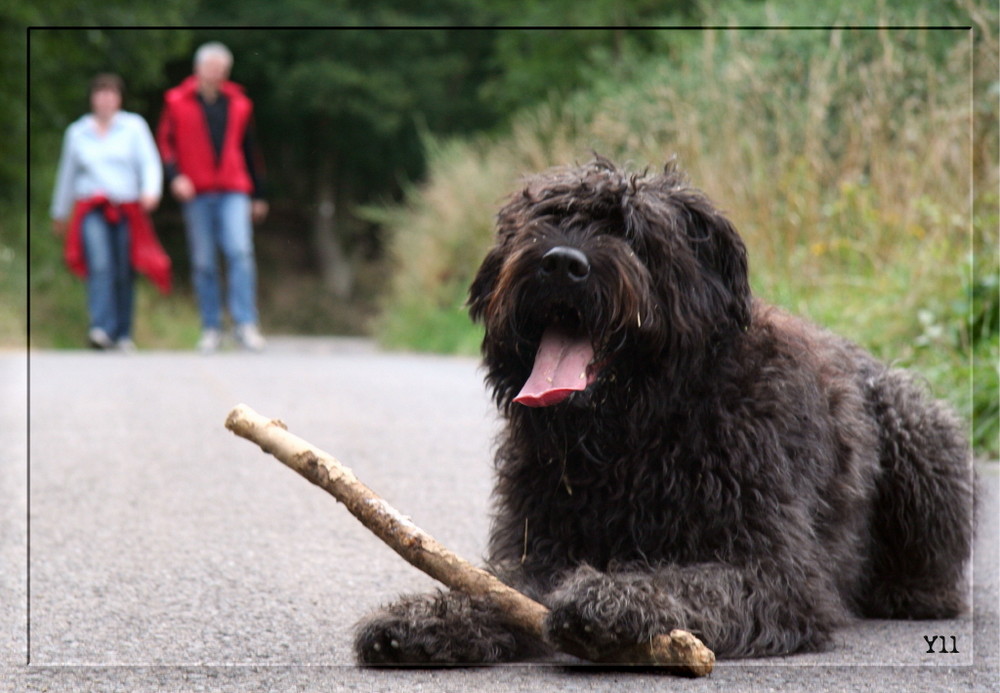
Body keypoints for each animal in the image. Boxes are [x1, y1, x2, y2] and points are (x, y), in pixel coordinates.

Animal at [356, 158, 972, 664]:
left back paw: (911, 591)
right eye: (547, 219)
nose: (561, 263)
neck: (633, 439)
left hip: (916, 426)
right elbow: (496, 588)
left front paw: (615, 596)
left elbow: (691, 582)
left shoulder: (776, 571)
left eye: (634, 232)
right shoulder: (540, 546)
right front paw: (428, 617)